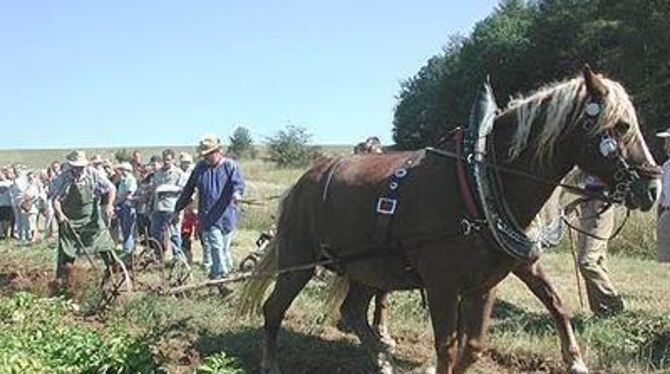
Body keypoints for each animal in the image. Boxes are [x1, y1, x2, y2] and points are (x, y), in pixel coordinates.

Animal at [240, 68, 660, 374]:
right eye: (622, 126)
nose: (653, 187)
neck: (482, 182)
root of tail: (303, 181)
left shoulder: (488, 281)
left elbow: (476, 344)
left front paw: (575, 360)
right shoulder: (442, 284)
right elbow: (446, 346)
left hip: (367, 267)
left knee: (353, 311)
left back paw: (383, 359)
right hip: (299, 260)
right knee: (274, 309)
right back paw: (271, 363)